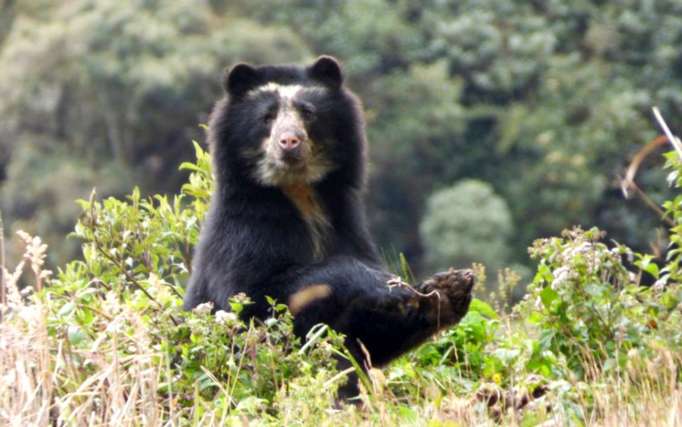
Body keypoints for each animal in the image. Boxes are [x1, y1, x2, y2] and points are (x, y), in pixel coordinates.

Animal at [183, 56, 476, 398]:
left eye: (307, 112)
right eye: (267, 117)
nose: (289, 142)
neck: (299, 192)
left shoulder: (346, 225)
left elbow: (368, 338)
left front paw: (447, 289)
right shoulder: (243, 234)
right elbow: (252, 301)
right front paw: (386, 284)